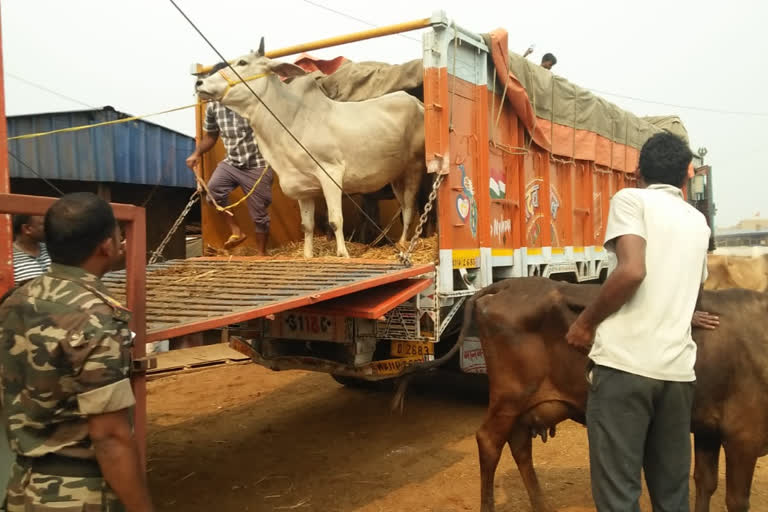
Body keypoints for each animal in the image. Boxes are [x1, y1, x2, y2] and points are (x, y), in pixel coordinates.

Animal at [392, 276, 768, 512]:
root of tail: (506, 284)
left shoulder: (709, 429)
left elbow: (705, 484)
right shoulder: (743, 435)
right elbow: (736, 499)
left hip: (523, 402)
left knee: (519, 444)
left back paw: (542, 507)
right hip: (510, 395)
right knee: (489, 441)